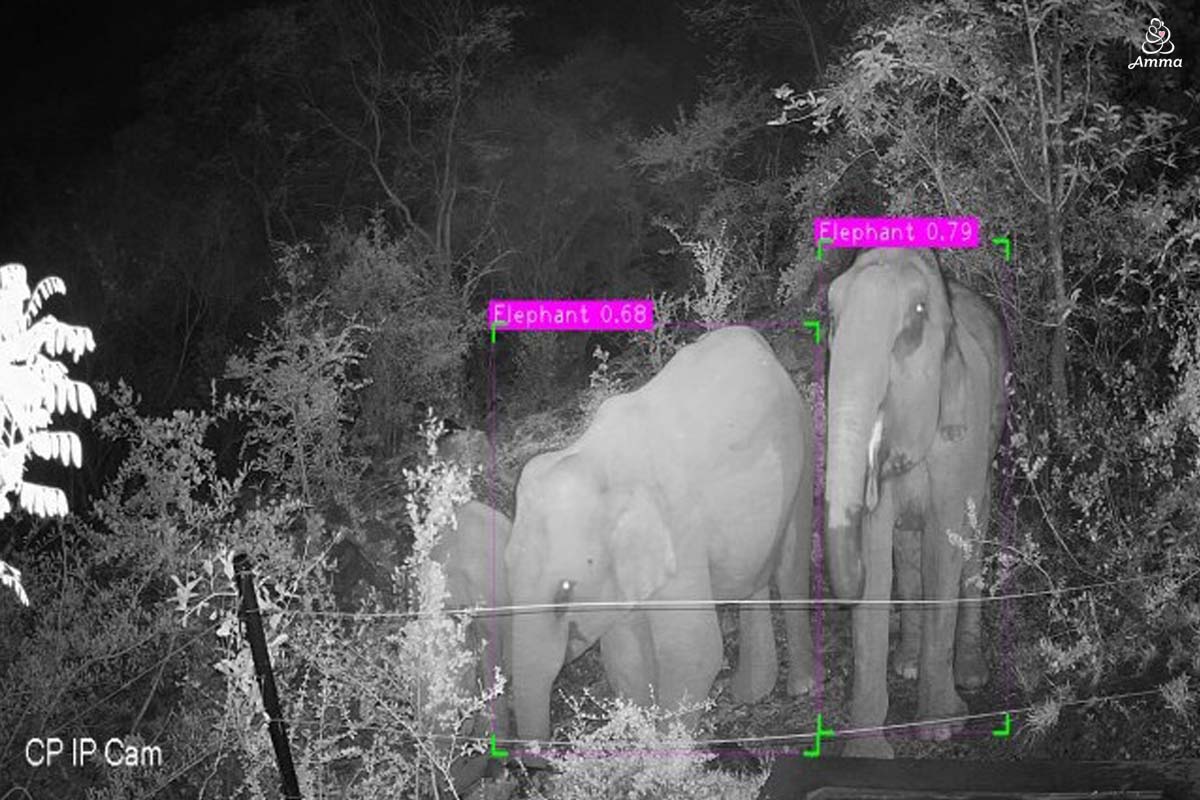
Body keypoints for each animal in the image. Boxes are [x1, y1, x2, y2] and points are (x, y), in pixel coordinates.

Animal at [825, 248, 1003, 758]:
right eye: (831, 314)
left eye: (918, 314)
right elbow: (878, 547)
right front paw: (867, 756)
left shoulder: (962, 433)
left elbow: (945, 546)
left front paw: (941, 729)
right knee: (904, 551)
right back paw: (906, 662)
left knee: (974, 533)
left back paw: (971, 676)